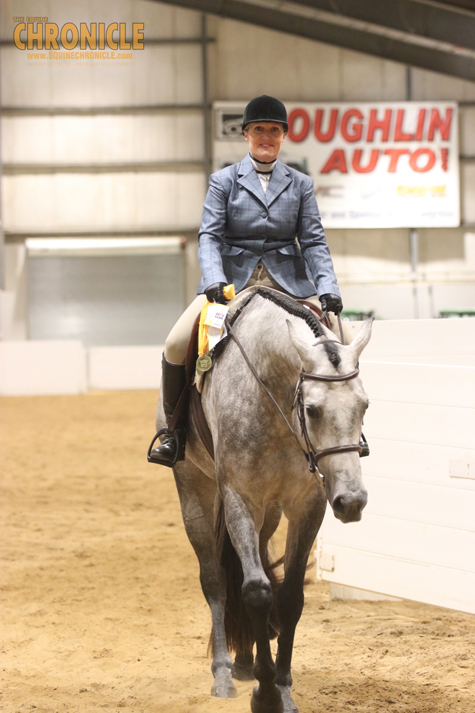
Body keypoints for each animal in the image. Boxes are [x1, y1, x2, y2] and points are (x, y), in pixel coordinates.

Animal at [156, 286, 372, 713]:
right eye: (312, 410)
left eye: (365, 405)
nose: (351, 501)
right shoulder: (240, 497)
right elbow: (256, 590)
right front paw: (266, 692)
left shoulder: (308, 504)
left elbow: (289, 597)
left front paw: (282, 686)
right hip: (194, 490)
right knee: (216, 579)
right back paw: (225, 672)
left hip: (269, 511)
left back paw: (245, 661)